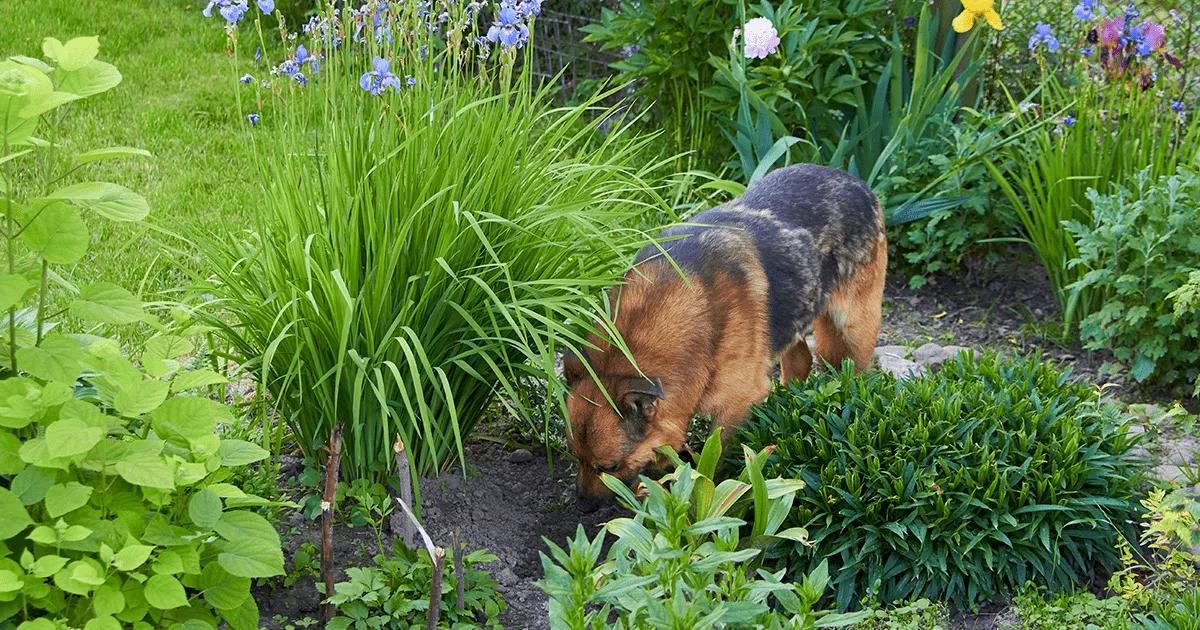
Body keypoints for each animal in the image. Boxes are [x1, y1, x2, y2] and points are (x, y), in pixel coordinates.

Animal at [559, 163, 883, 511]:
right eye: (573, 457)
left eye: (608, 467)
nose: (581, 505)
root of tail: (854, 180)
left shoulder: (738, 403)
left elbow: (716, 460)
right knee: (800, 358)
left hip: (855, 327)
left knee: (858, 368)